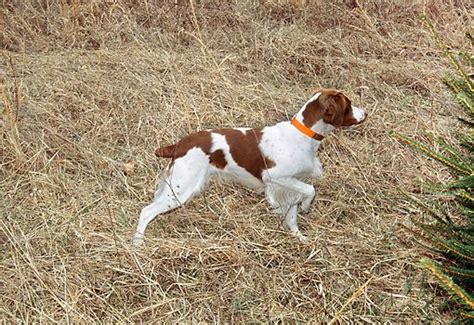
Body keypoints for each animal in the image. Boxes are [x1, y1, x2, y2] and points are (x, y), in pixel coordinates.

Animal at [131, 87, 368, 244]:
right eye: (348, 104)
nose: (365, 113)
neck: (303, 135)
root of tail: (180, 144)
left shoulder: (291, 184)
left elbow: (292, 215)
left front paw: (300, 239)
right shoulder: (276, 178)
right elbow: (310, 191)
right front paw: (307, 207)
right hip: (181, 189)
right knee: (146, 211)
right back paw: (137, 244)